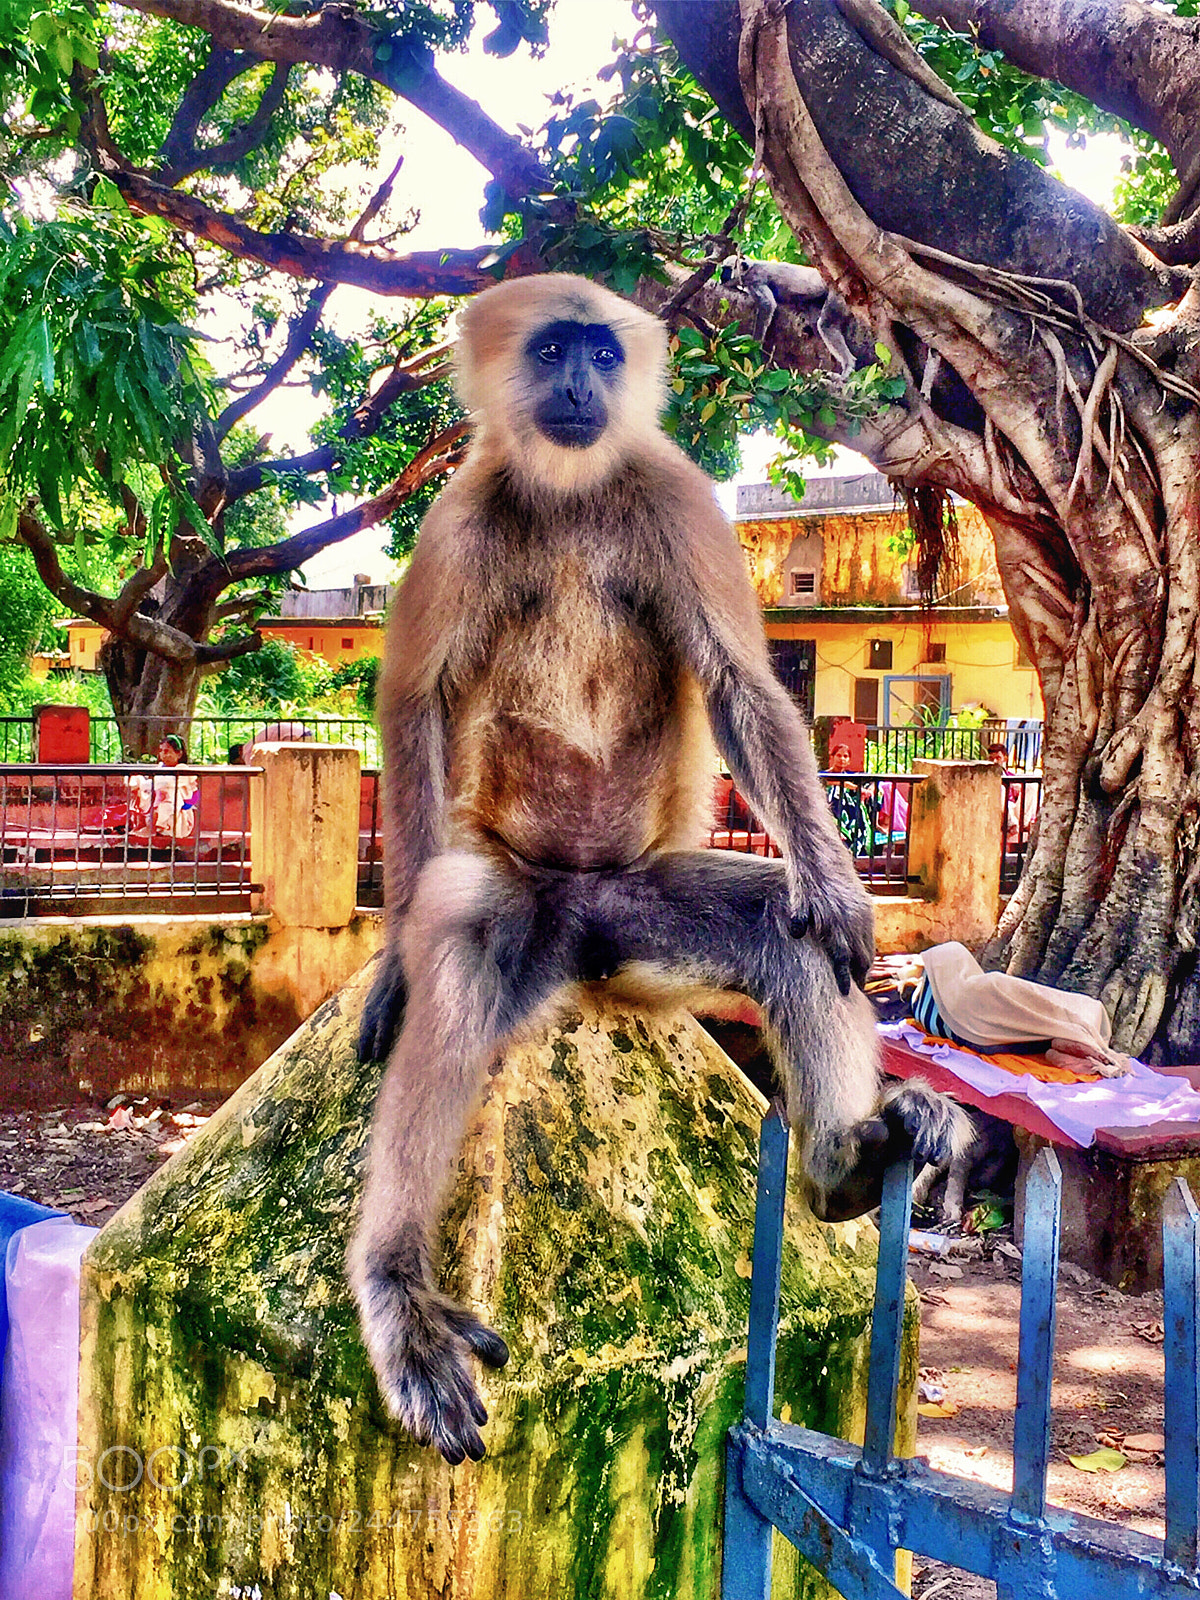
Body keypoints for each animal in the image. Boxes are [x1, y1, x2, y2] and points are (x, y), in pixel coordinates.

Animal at [349, 273, 968, 1464]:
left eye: (601, 350)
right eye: (553, 351)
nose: (582, 387)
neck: (570, 495)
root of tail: (586, 913)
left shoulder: (673, 494)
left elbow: (741, 683)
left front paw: (836, 887)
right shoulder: (460, 518)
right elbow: (413, 708)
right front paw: (394, 959)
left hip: (639, 906)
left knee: (779, 926)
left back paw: (842, 1168)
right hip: (530, 891)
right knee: (465, 942)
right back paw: (398, 1292)